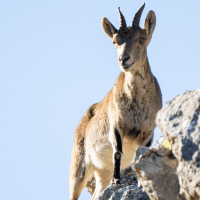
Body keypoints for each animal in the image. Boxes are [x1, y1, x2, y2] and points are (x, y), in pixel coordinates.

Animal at [69, 3, 162, 200]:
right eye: (115, 41)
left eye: (142, 38)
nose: (124, 59)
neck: (137, 108)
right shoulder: (115, 125)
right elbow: (118, 153)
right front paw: (118, 181)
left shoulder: (148, 133)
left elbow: (139, 156)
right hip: (78, 167)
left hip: (101, 172)